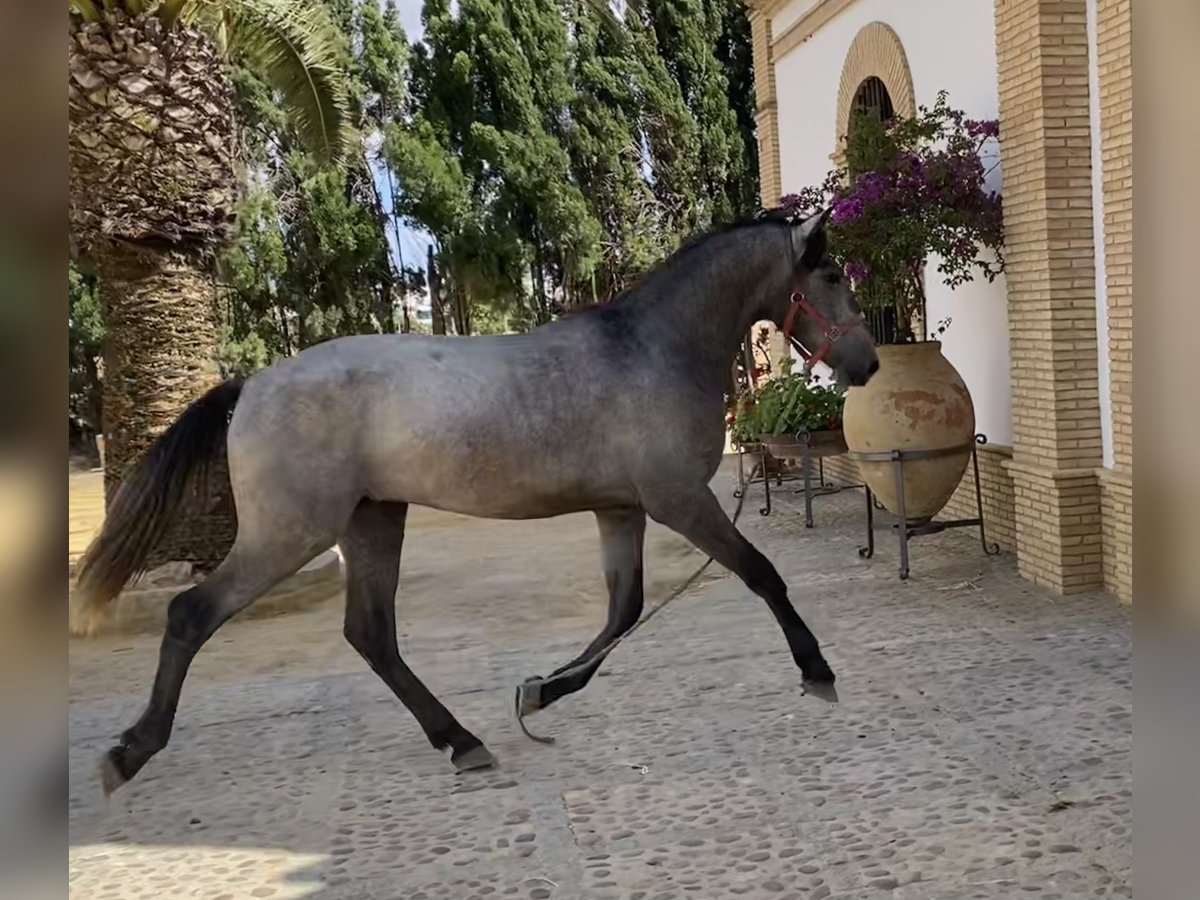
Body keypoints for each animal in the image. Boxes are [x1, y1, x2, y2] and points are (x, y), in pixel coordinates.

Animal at [79, 207, 878, 792]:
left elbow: (623, 612)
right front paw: (819, 673)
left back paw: (460, 740)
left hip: (372, 522)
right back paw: (128, 752)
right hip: (289, 534)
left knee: (371, 635)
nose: (868, 363)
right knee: (192, 615)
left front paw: (538, 694)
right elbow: (761, 575)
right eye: (832, 273)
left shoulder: (620, 509)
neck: (653, 349)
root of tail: (250, 385)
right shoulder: (678, 501)